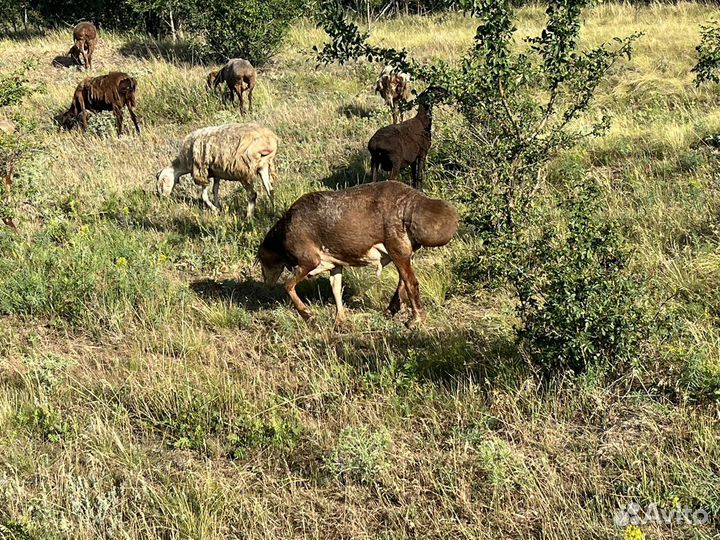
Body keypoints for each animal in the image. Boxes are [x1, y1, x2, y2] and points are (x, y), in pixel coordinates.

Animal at [256, 181, 456, 326]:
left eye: (262, 260)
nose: (266, 283)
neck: (282, 233)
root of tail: (412, 202)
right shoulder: (335, 265)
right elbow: (336, 289)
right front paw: (340, 319)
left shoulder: (309, 261)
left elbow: (288, 285)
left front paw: (307, 314)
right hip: (404, 253)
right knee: (403, 281)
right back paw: (391, 310)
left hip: (396, 248)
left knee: (410, 282)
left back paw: (416, 319)